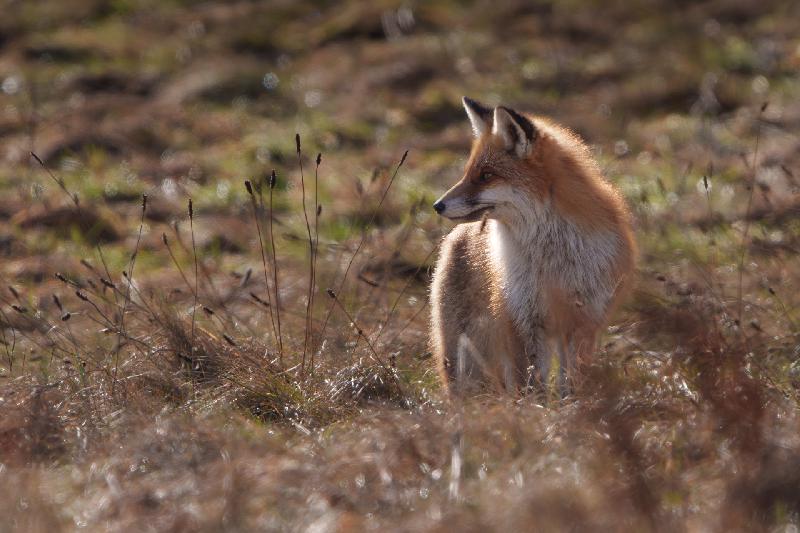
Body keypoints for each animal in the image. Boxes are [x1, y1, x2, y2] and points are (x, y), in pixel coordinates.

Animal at [429, 97, 636, 395]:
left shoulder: (582, 322)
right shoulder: (521, 320)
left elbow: (570, 381)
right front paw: (535, 409)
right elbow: (530, 385)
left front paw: (572, 407)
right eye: (468, 173)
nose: (437, 205)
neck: (553, 258)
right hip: (461, 354)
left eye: (486, 175)